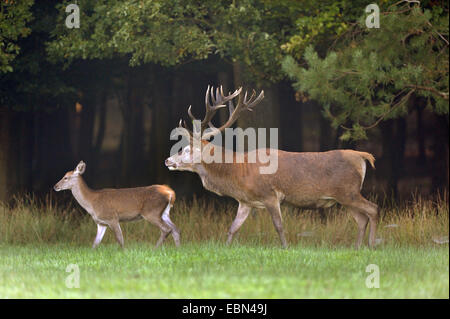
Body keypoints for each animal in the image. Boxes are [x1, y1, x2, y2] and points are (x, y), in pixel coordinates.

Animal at [163, 86, 378, 249]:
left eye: (187, 149)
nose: (167, 160)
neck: (238, 173)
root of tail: (362, 156)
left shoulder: (270, 195)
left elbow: (279, 226)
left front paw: (286, 248)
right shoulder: (246, 201)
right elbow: (233, 228)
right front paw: (225, 248)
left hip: (348, 191)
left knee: (373, 209)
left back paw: (371, 245)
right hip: (344, 196)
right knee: (361, 218)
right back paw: (358, 247)